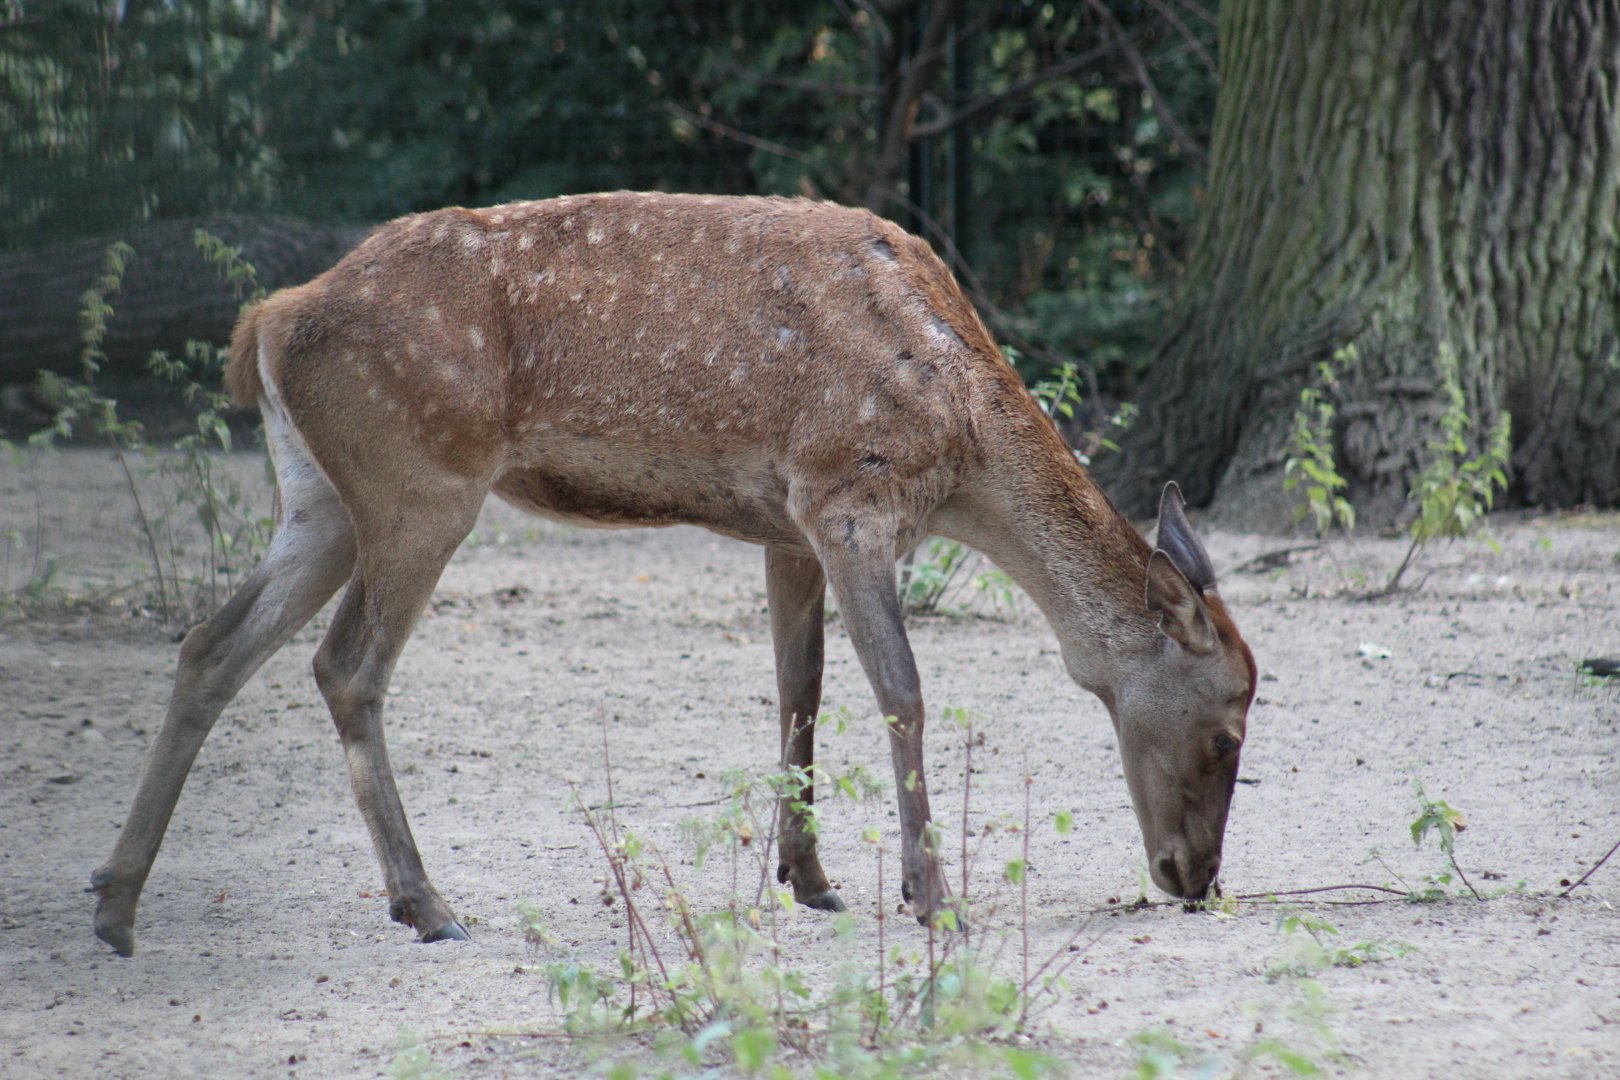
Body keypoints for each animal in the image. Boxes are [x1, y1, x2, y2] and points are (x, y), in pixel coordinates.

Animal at [91, 192, 1256, 957]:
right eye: (1229, 726)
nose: (1194, 879)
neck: (957, 438)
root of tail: (269, 320)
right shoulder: (849, 491)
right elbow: (902, 692)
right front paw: (932, 894)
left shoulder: (791, 524)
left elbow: (800, 689)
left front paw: (811, 878)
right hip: (419, 482)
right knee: (344, 666)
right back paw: (424, 903)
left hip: (318, 499)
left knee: (210, 645)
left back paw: (116, 902)